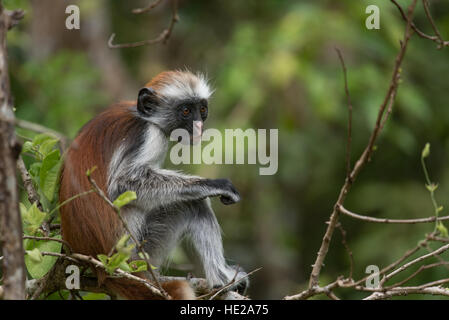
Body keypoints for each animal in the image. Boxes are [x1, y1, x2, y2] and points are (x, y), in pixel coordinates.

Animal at [58, 70, 247, 300]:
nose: (199, 127)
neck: (144, 117)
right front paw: (213, 185)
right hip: (137, 253)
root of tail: (105, 267)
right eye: (186, 110)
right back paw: (221, 283)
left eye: (202, 110)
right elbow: (123, 184)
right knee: (193, 203)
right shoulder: (149, 134)